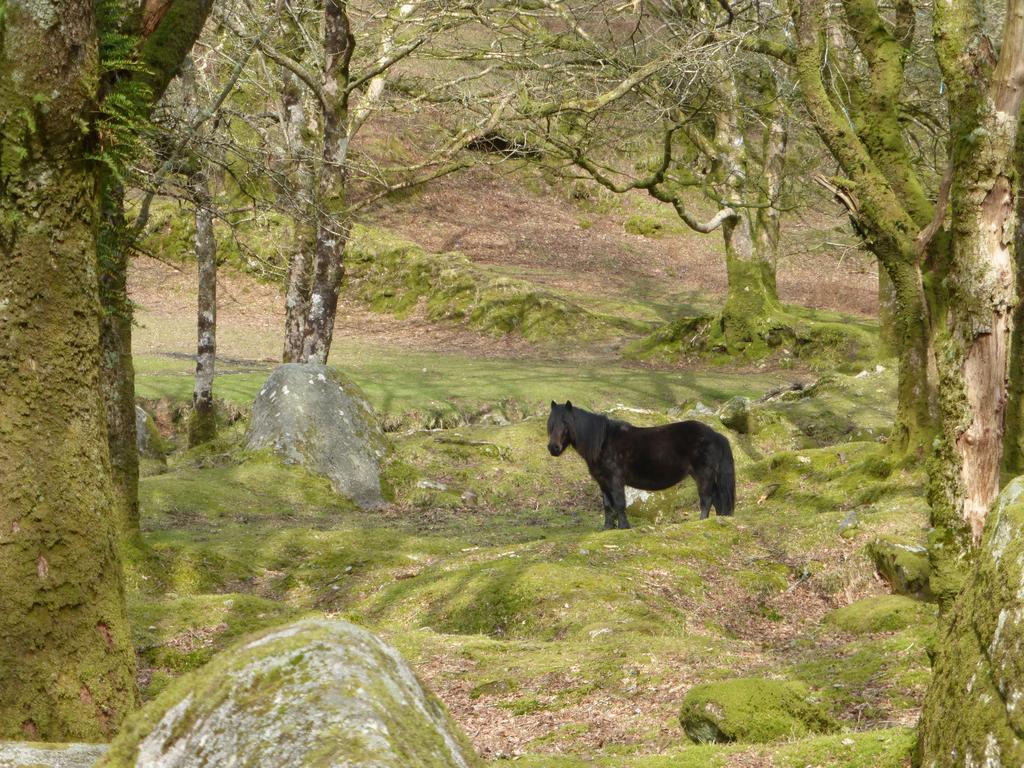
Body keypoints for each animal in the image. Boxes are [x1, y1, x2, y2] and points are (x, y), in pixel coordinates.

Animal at [544, 403, 737, 528]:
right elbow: (608, 506)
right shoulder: (603, 482)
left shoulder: (615, 480)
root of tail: (715, 434)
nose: (553, 448)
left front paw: (624, 527)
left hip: (703, 475)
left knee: (707, 499)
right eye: (551, 423)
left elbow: (619, 504)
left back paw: (702, 521)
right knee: (717, 499)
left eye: (566, 423)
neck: (603, 441)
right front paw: (607, 528)